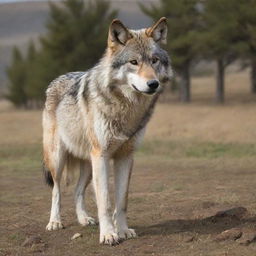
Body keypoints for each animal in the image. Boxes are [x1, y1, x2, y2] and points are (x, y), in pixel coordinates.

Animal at [43, 17, 172, 245]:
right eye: (133, 62)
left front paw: (123, 230)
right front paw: (109, 234)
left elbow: (121, 201)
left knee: (77, 191)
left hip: (88, 165)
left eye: (154, 60)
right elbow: (105, 201)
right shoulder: (101, 156)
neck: (126, 109)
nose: (153, 84)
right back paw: (55, 222)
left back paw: (84, 219)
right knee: (57, 190)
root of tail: (56, 79)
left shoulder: (125, 157)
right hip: (59, 160)